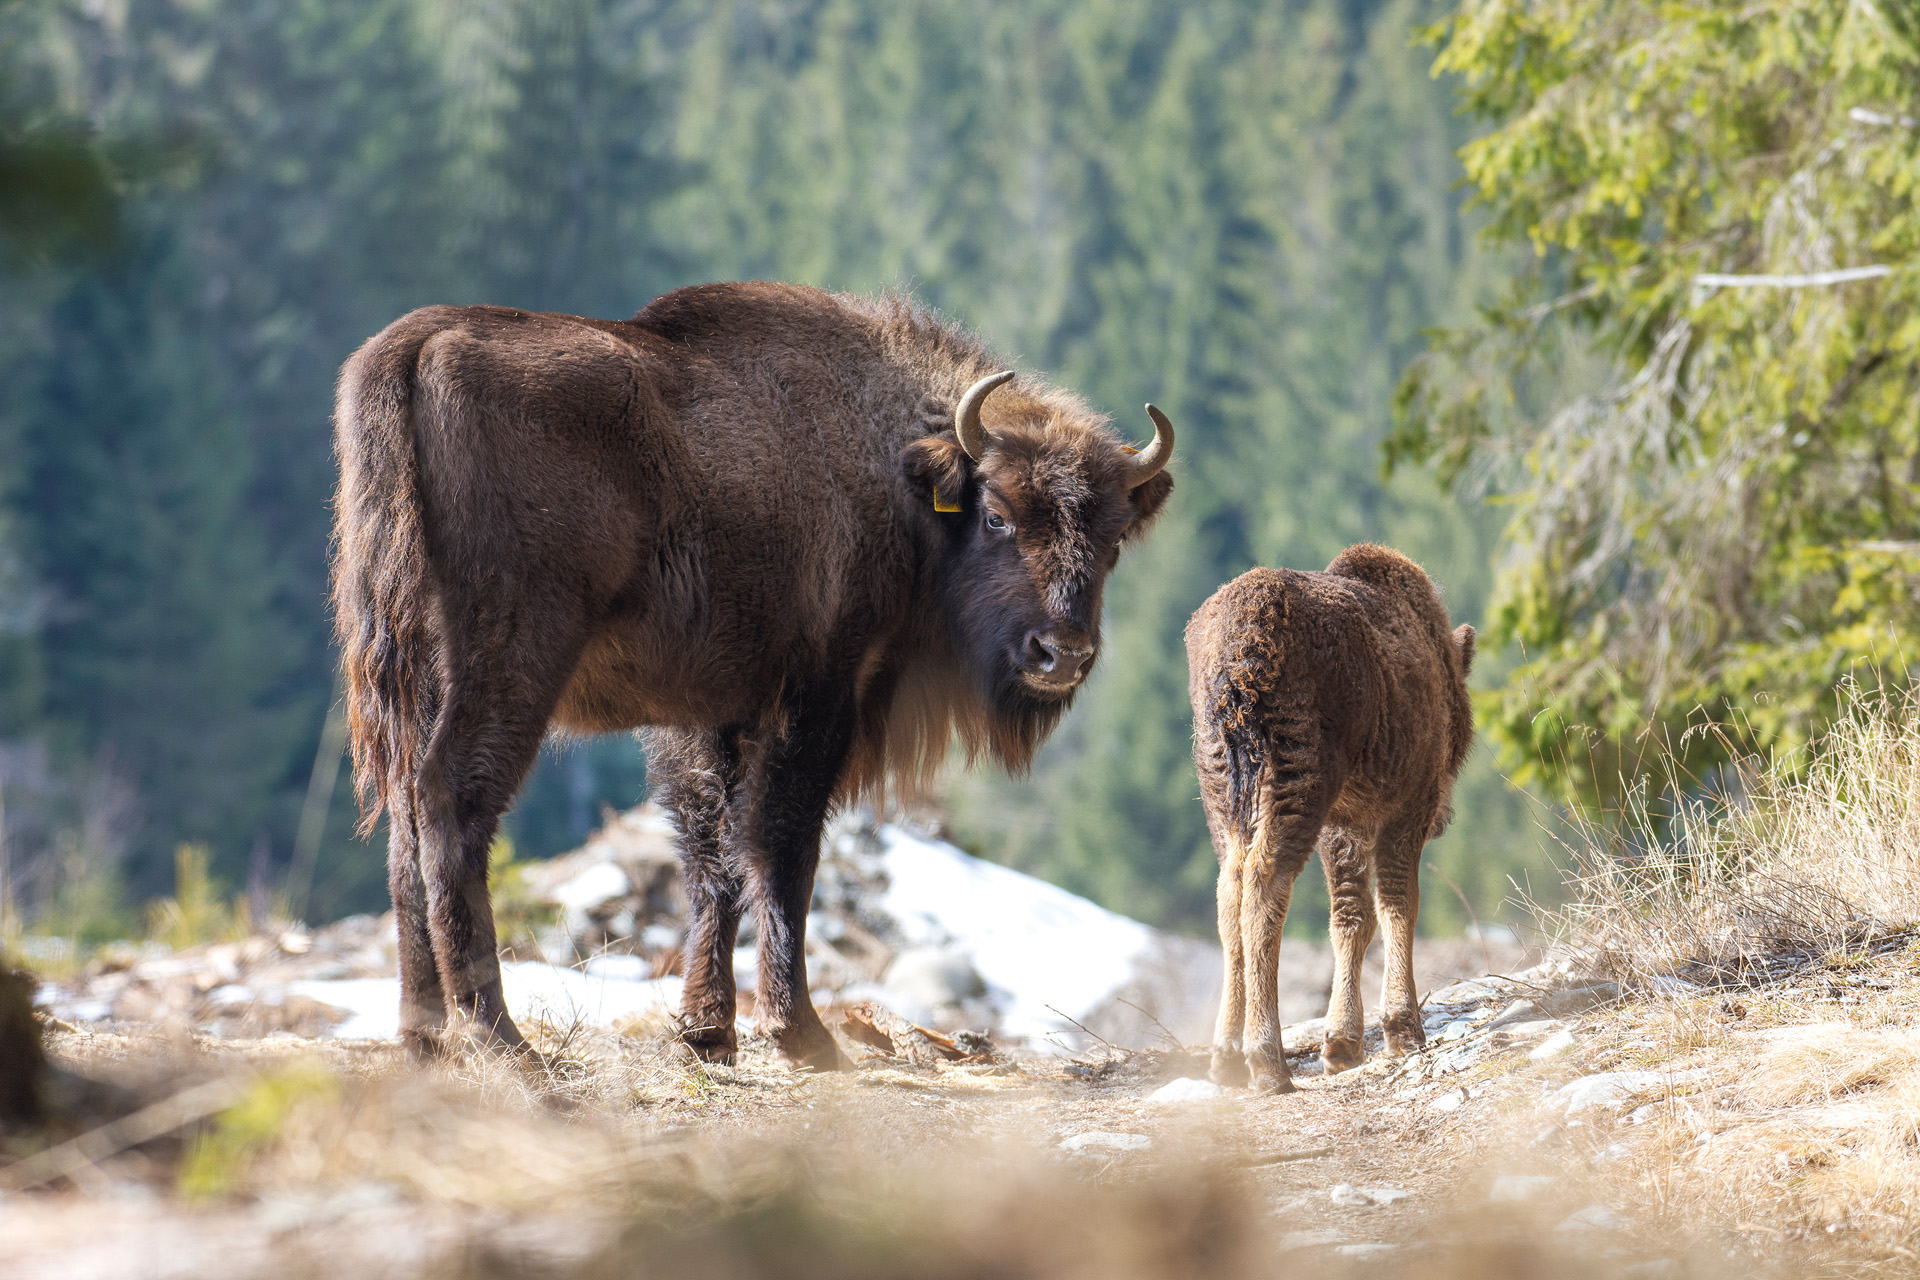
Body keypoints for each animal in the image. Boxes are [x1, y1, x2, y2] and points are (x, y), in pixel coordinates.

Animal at [330, 282, 1167, 1074]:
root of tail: (418, 345)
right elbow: (782, 851)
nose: (1061, 654)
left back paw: (424, 1038)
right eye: (997, 514)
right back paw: (500, 1038)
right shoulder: (817, 699)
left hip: (414, 674)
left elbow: (713, 858)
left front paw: (708, 1032)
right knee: (453, 805)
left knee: (405, 825)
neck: (894, 466)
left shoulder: (709, 716)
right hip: (511, 663)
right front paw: (802, 1034)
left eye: (1114, 536)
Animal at [1182, 545, 1466, 1097]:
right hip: (1298, 777)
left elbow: (1350, 918)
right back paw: (1267, 1058)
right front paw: (1402, 1027)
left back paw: (1225, 1055)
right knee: (1265, 884)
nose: (1447, 816)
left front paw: (1342, 1041)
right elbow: (1398, 905)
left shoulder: (1344, 823)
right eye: (1463, 714)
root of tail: (1238, 662)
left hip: (1221, 786)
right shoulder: (1407, 806)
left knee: (1229, 889)